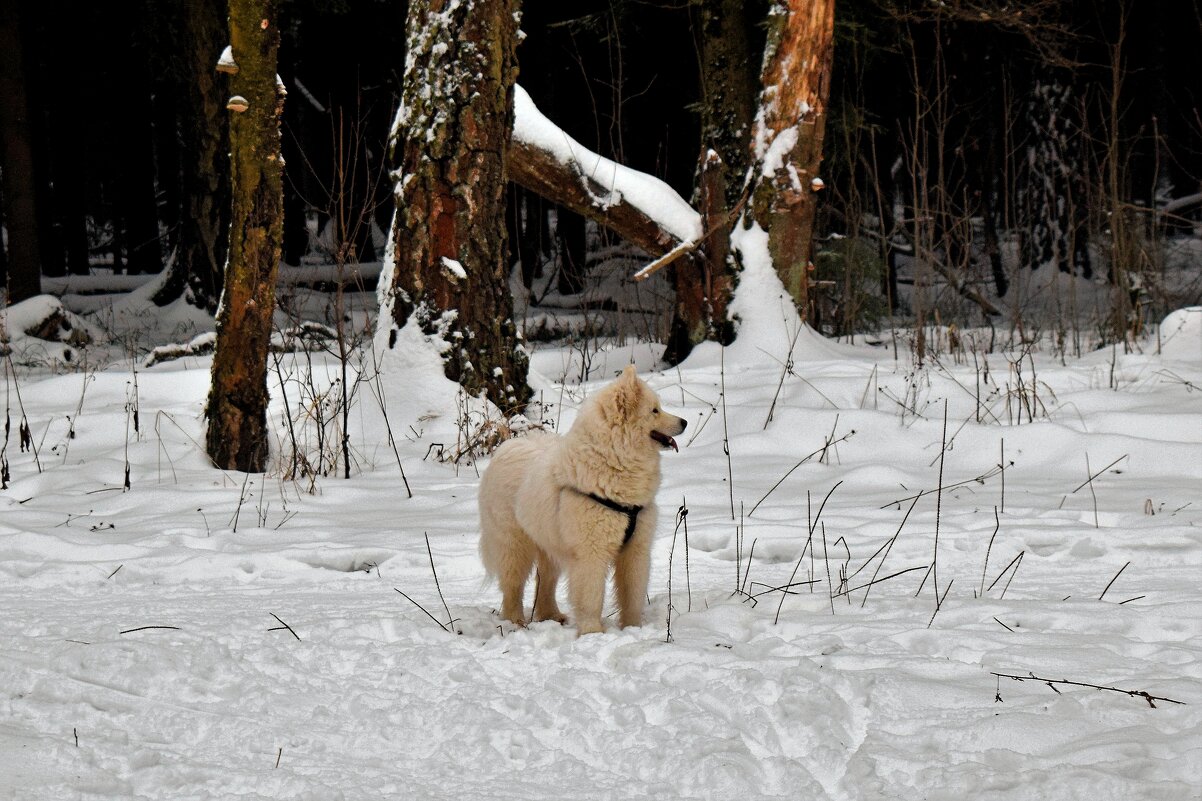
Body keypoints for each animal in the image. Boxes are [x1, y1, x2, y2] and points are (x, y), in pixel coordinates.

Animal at [478, 365, 687, 635]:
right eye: (654, 410)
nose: (684, 422)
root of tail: (507, 447)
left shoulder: (636, 549)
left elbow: (633, 593)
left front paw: (633, 628)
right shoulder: (591, 552)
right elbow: (591, 596)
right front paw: (592, 632)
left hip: (549, 543)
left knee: (545, 581)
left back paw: (551, 616)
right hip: (514, 544)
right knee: (513, 585)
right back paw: (516, 622)